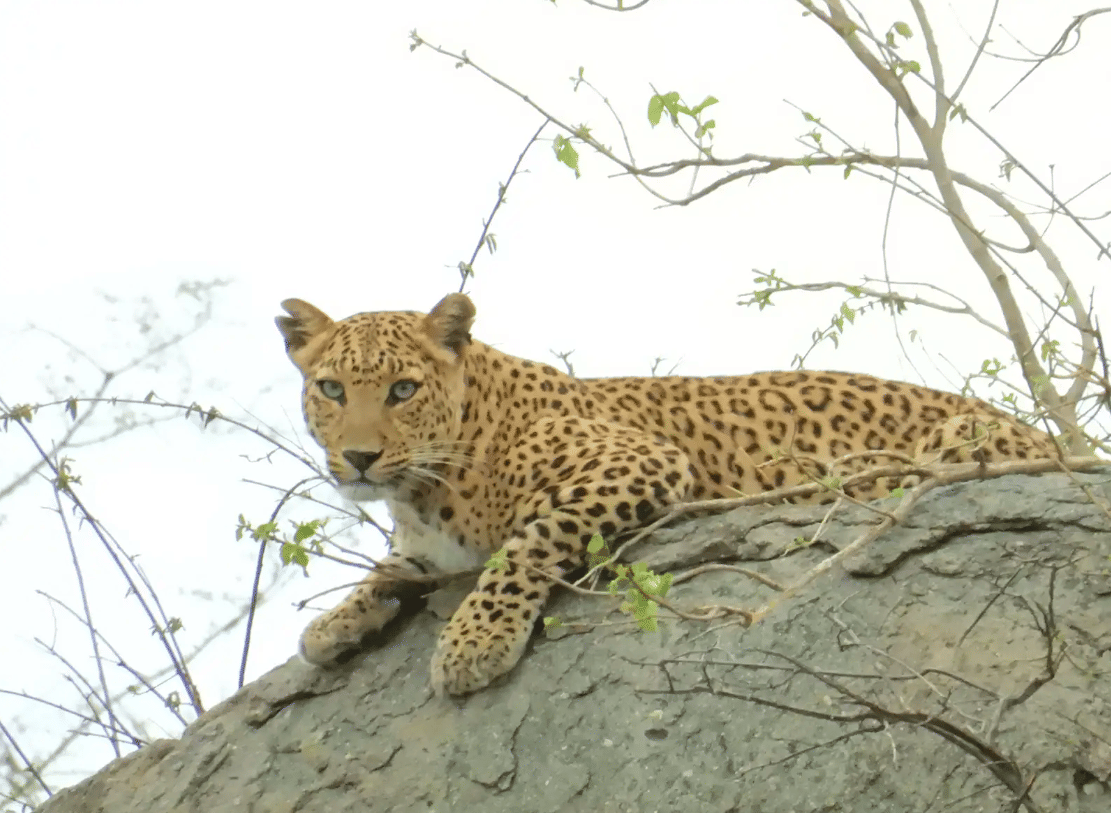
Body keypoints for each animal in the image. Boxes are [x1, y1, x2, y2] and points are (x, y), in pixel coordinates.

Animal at [276, 292, 1057, 696]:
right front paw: (333, 624)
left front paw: (475, 642)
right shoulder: (425, 546)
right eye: (332, 390)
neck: (423, 484)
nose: (359, 458)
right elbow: (387, 570)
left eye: (403, 390)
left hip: (953, 441)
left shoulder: (637, 461)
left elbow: (524, 546)